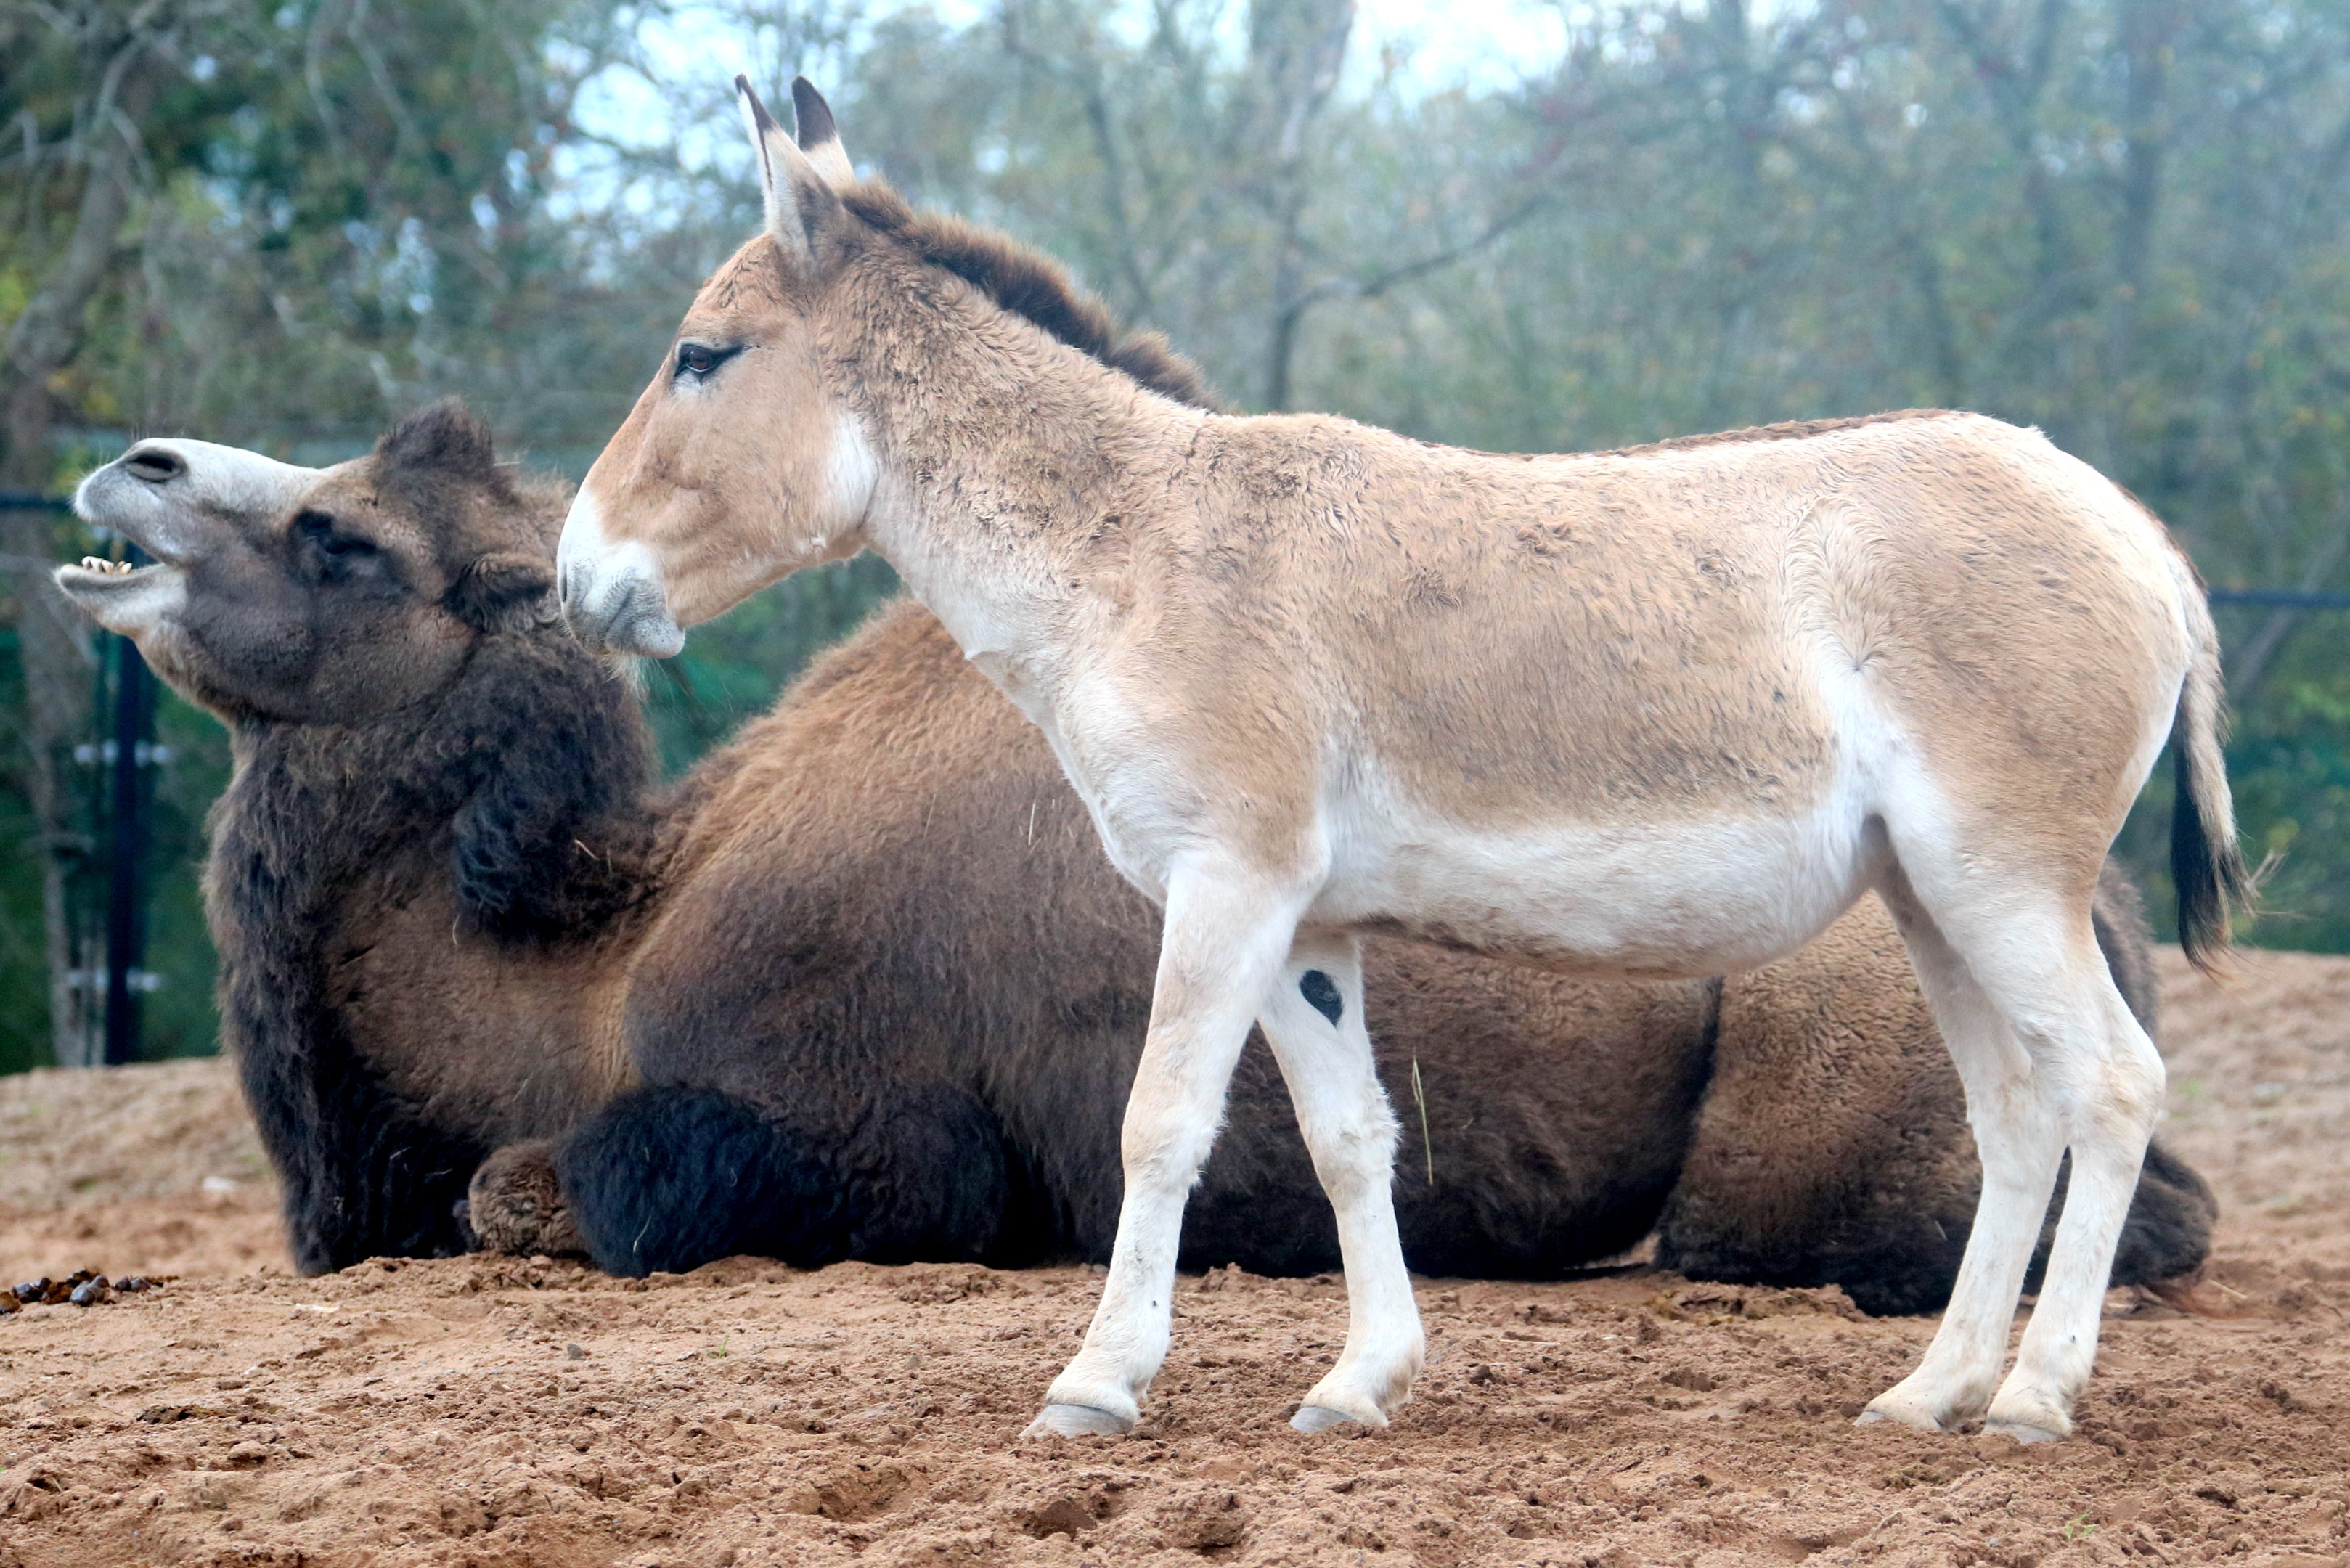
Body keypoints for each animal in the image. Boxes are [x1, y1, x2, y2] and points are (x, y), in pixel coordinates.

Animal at [57, 406, 2211, 1318]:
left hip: (1808, 1085)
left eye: (346, 538)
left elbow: (544, 1190)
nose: (131, 468)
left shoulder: (865, 1138)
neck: (587, 957)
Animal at [554, 80, 2249, 1442]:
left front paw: (1095, 1386)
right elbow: (1351, 1142)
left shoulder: (1223, 887)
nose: (575, 580)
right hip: (1929, 902)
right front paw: (1358, 1385)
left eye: (701, 356)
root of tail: (2136, 534)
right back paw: (1927, 1395)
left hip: (1998, 884)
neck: (1134, 552)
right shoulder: (1307, 925)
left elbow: (1159, 1123)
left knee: (2109, 1087)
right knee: (2017, 1117)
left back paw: (2032, 1401)